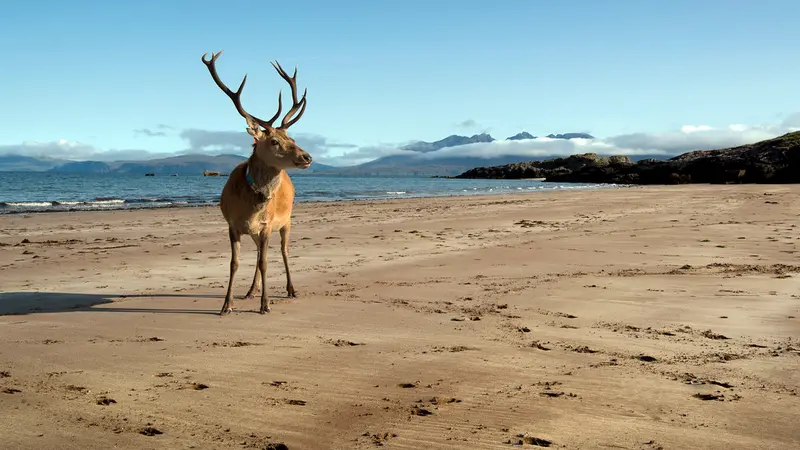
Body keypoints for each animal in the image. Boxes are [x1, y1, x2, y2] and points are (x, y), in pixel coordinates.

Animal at [200, 50, 313, 316]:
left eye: (292, 138)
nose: (307, 157)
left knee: (283, 252)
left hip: (286, 220)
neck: (251, 207)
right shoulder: (233, 224)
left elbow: (264, 261)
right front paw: (227, 304)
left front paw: (266, 304)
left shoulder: (267, 224)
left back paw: (291, 289)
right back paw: (251, 290)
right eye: (273, 141)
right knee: (263, 253)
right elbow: (235, 263)